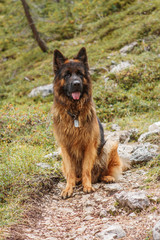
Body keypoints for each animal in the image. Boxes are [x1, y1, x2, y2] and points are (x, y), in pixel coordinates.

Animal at [52, 47, 124, 199]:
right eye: (67, 75)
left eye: (80, 74)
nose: (76, 84)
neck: (75, 114)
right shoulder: (64, 147)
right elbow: (70, 171)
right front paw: (68, 188)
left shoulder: (89, 145)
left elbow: (86, 169)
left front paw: (87, 186)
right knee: (73, 174)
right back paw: (76, 181)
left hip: (109, 145)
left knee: (100, 172)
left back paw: (106, 177)